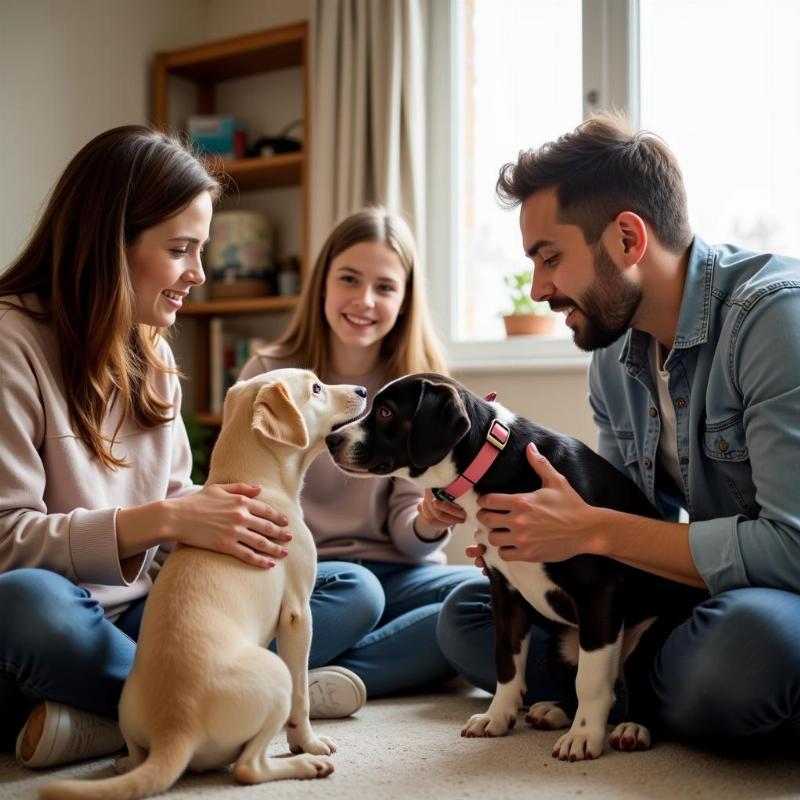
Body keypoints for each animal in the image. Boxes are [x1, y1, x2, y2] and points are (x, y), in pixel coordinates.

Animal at [42, 370, 368, 800]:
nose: (363, 389)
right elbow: (302, 696)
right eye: (315, 388)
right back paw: (305, 764)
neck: (253, 478)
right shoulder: (298, 613)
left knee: (135, 758)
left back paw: (124, 763)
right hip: (275, 672)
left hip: (129, 706)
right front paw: (309, 743)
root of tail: (176, 729)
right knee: (248, 768)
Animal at [326, 376, 708, 764]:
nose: (331, 440)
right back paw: (555, 710)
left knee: (630, 682)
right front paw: (497, 716)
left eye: (386, 412)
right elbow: (507, 662)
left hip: (641, 639)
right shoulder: (505, 593)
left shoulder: (598, 591)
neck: (491, 466)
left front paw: (584, 736)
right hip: (563, 643)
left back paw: (632, 727)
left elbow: (590, 680)